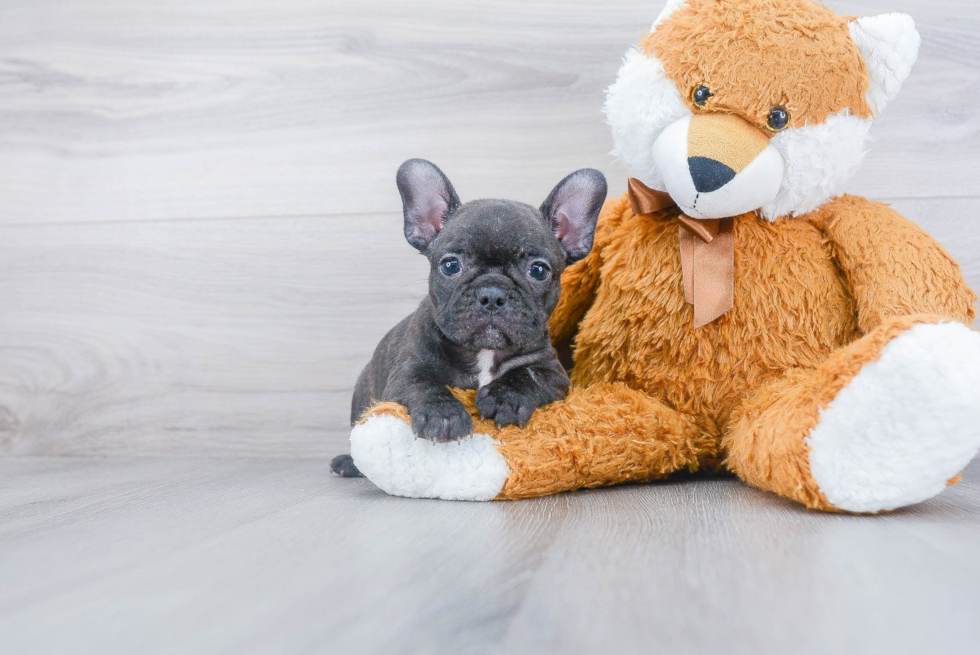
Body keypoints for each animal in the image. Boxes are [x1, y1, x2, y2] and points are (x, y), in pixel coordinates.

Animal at [330, 158, 604, 476]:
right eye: (450, 265)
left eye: (538, 270)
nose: (492, 295)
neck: (483, 352)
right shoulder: (406, 371)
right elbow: (423, 384)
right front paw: (443, 414)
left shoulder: (554, 374)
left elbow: (529, 376)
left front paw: (504, 397)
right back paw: (347, 463)